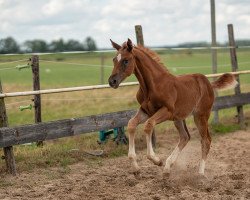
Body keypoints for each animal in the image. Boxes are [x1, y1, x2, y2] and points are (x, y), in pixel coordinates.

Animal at [108, 38, 236, 176]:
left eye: (126, 60)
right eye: (114, 59)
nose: (112, 81)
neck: (153, 85)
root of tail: (209, 84)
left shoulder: (167, 111)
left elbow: (149, 125)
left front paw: (156, 160)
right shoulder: (145, 111)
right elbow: (131, 124)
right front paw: (136, 166)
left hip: (200, 115)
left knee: (205, 140)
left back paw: (200, 173)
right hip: (179, 118)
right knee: (185, 137)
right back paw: (168, 167)